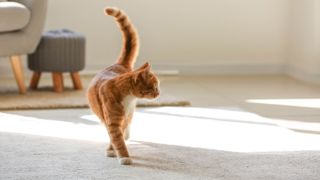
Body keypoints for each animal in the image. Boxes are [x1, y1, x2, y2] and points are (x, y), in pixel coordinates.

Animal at [87, 6, 160, 165]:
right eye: (154, 87)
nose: (159, 93)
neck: (128, 97)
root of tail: (119, 64)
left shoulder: (123, 118)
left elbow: (117, 137)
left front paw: (113, 150)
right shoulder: (113, 121)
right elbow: (116, 139)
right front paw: (124, 156)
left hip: (129, 113)